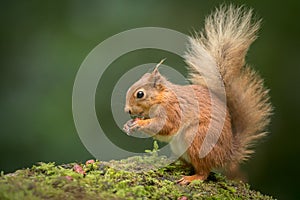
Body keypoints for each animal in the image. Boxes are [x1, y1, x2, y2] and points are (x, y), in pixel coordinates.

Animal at [122, 5, 272, 184]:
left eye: (140, 94)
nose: (127, 111)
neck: (162, 97)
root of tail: (227, 154)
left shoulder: (173, 108)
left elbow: (166, 126)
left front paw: (139, 124)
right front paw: (127, 125)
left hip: (197, 139)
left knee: (204, 171)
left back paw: (191, 177)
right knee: (191, 164)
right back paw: (177, 166)